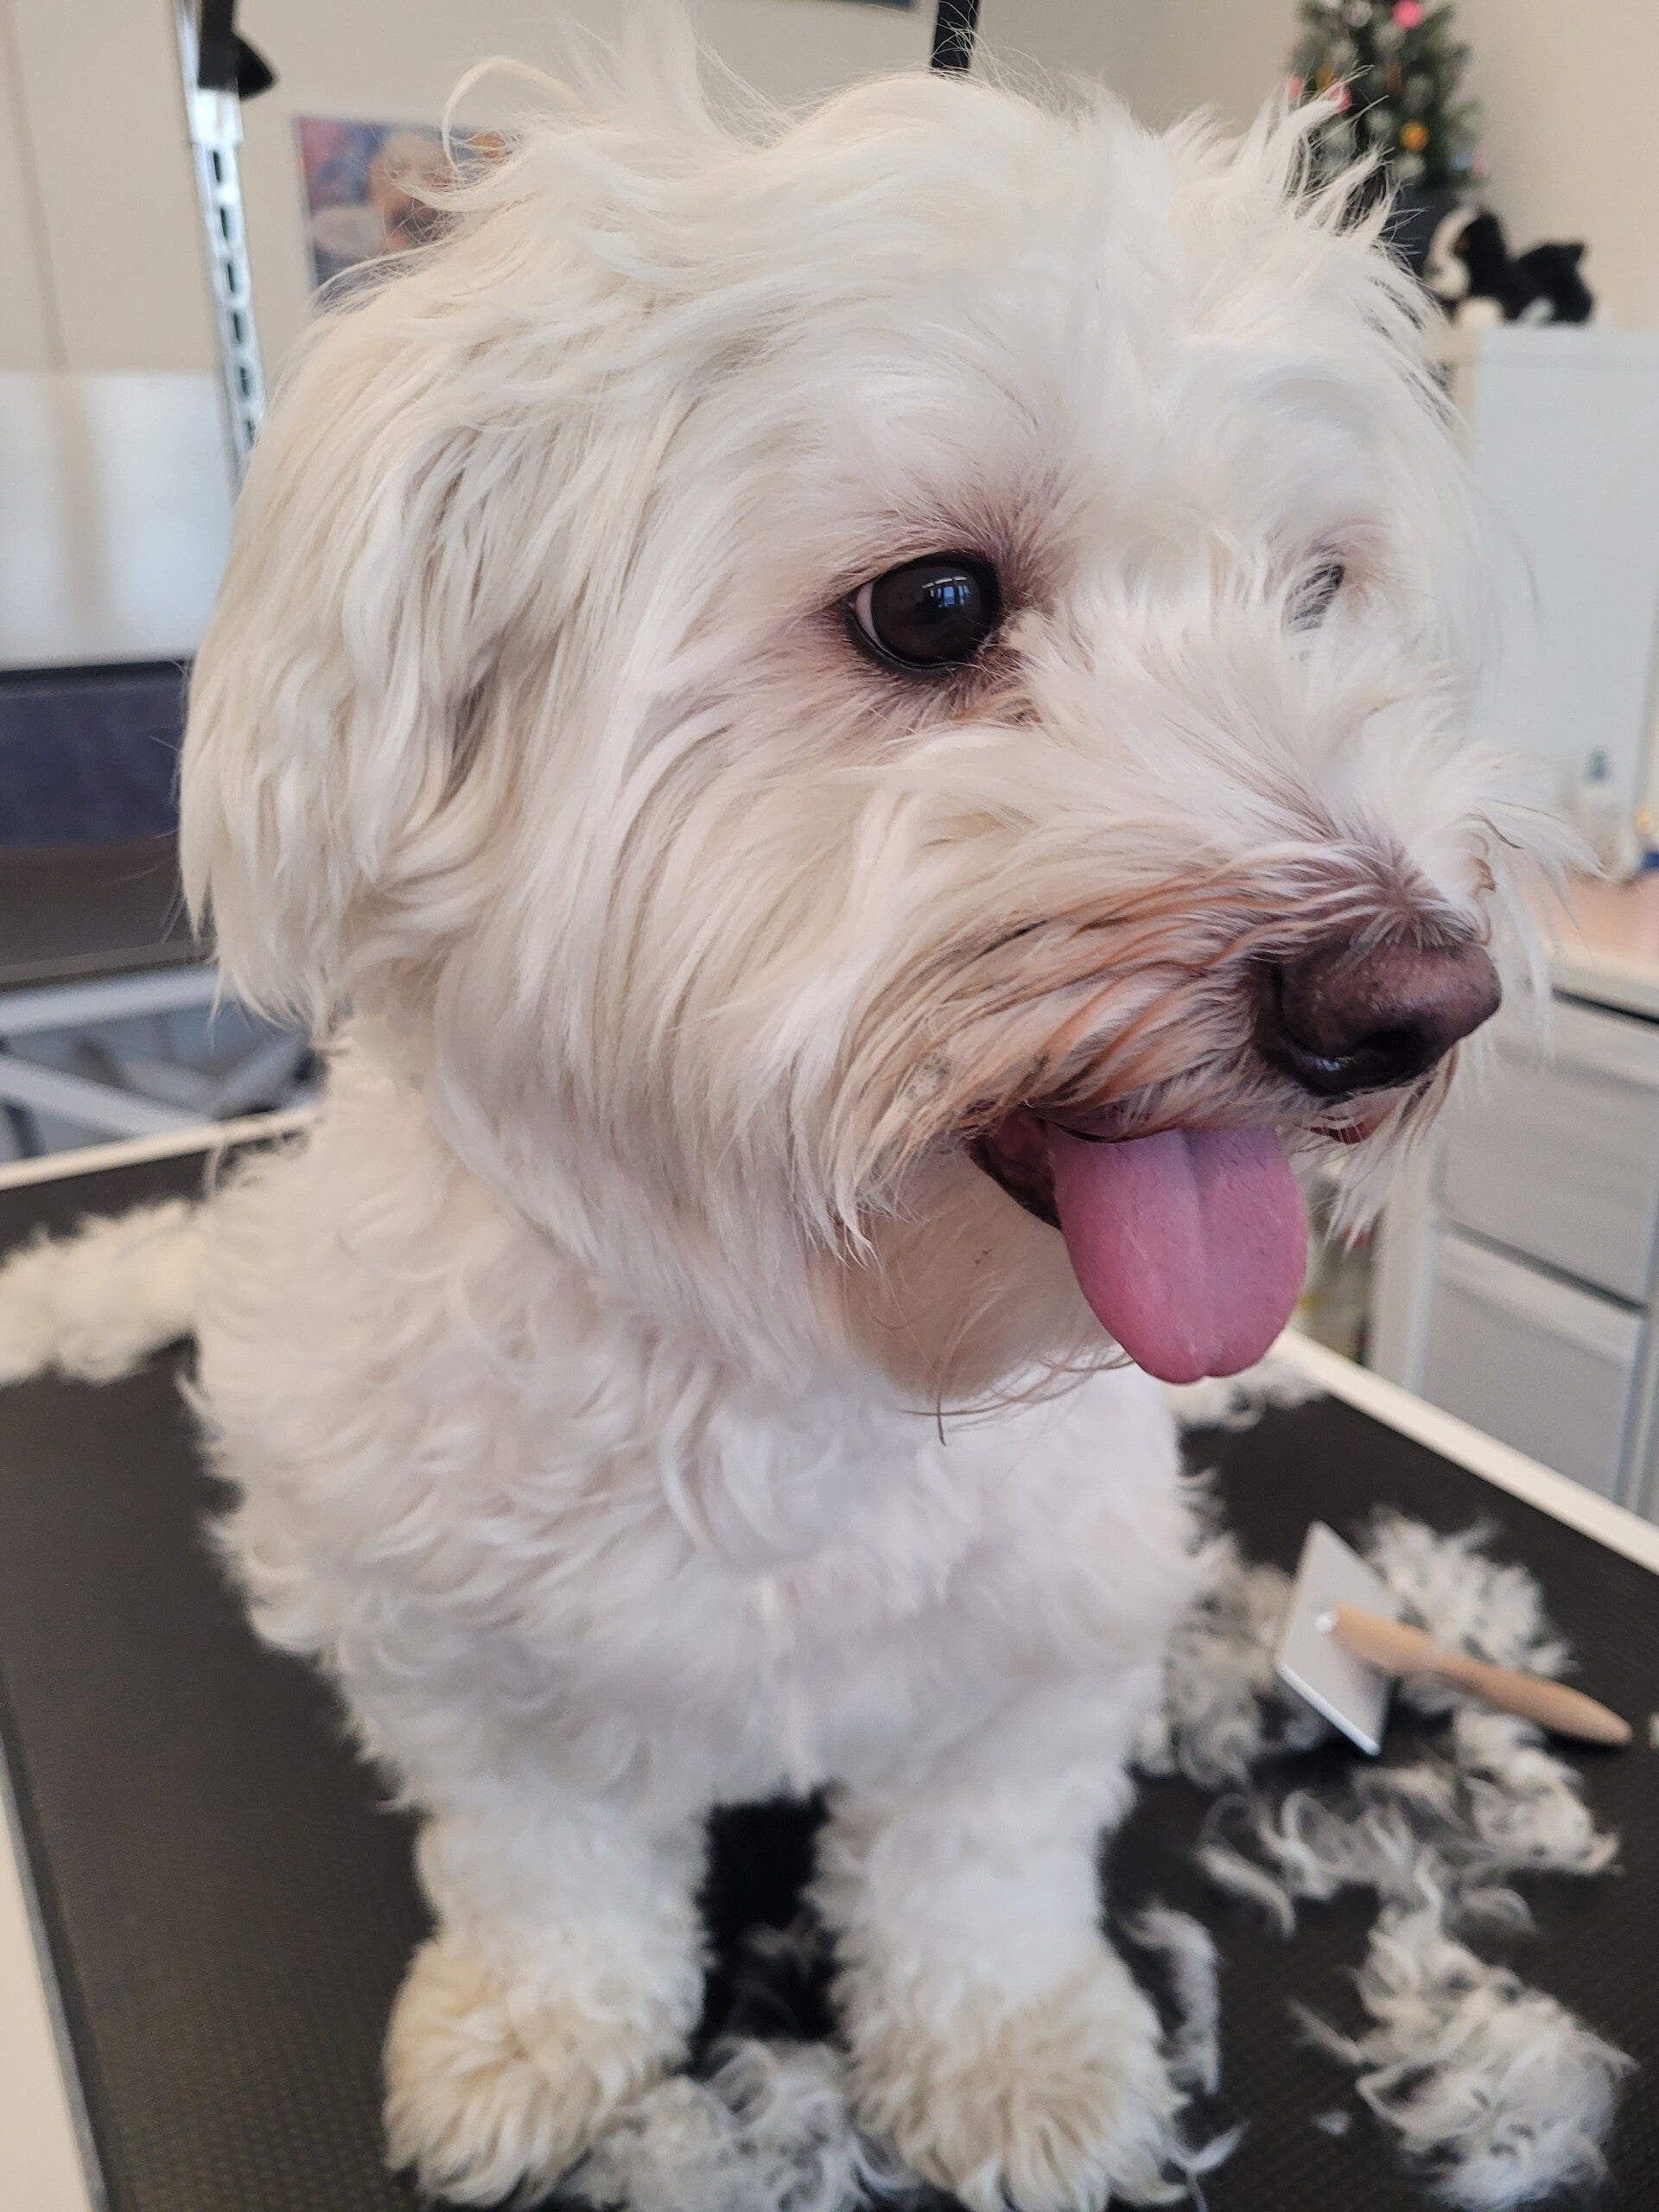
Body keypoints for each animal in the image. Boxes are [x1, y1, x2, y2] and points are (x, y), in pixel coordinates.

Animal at [178, 19, 1563, 2209]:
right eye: (930, 605)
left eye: (1317, 590)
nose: (1414, 1000)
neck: (793, 1346)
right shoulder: (466, 1660)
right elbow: (545, 1865)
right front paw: (530, 2035)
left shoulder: (1031, 1648)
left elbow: (975, 1873)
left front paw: (1009, 2060)